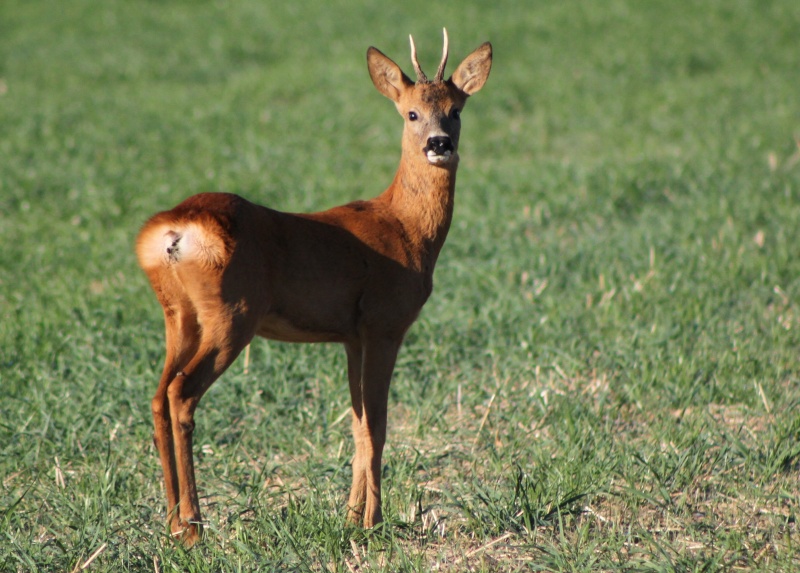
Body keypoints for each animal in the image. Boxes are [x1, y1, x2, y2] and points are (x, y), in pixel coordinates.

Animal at [134, 27, 490, 544]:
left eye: (456, 109)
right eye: (411, 112)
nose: (439, 142)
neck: (406, 229)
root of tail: (174, 231)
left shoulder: (352, 335)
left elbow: (358, 425)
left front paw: (350, 518)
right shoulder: (385, 322)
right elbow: (379, 424)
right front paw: (375, 522)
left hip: (178, 315)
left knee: (158, 395)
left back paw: (170, 521)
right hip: (232, 313)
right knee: (182, 393)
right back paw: (195, 526)